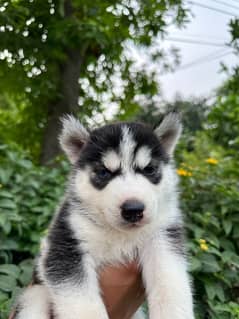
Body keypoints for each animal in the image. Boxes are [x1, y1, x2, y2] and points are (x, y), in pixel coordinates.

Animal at [14, 114, 194, 319]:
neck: (119, 234)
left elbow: (170, 282)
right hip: (33, 295)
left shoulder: (163, 235)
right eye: (103, 172)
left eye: (149, 170)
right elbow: (84, 303)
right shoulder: (66, 245)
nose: (133, 209)